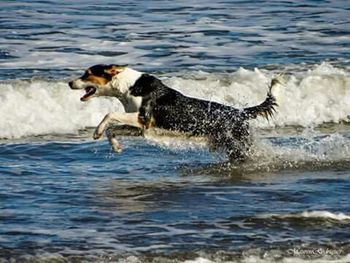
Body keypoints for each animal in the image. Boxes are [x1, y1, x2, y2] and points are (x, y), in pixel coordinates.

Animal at [69, 65, 280, 162]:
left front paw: (97, 131)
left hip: (236, 143)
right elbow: (113, 129)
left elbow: (110, 114)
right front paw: (116, 146)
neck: (130, 86)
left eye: (87, 74)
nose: (70, 83)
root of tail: (241, 112)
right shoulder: (141, 128)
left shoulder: (144, 117)